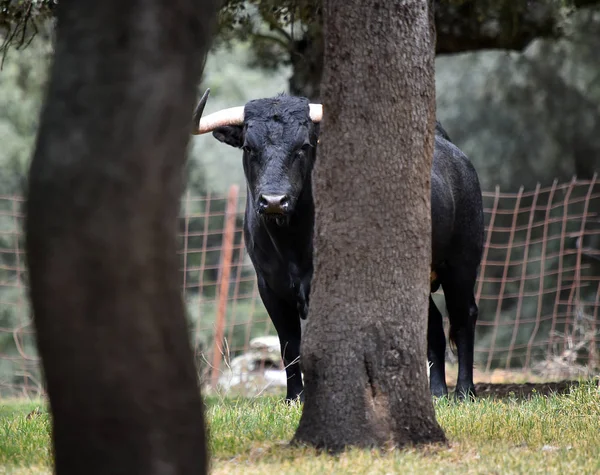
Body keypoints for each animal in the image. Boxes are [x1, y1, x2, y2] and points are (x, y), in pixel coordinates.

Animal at [195, 92, 486, 402]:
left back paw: (464, 391)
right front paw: (295, 398)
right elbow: (289, 345)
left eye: (304, 146)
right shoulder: (270, 287)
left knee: (463, 317)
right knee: (434, 325)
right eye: (249, 147)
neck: (293, 245)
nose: (274, 200)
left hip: (462, 264)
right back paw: (436, 392)